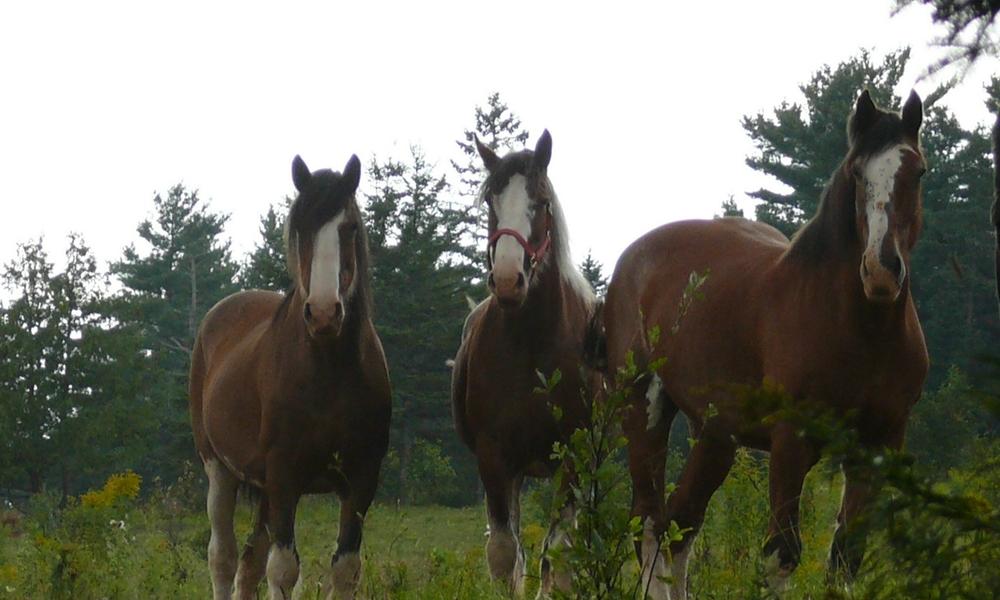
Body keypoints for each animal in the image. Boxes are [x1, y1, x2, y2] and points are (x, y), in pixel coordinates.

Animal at [188, 156, 390, 600]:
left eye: (350, 227)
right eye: (301, 227)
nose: (324, 313)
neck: (328, 371)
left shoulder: (361, 479)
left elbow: (345, 568)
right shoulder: (284, 476)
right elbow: (282, 570)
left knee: (248, 563)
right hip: (219, 470)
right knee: (223, 557)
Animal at [454, 131, 600, 596]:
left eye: (541, 201)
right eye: (490, 200)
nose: (506, 280)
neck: (532, 345)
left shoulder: (573, 454)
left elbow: (559, 554)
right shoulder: (494, 457)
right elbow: (505, 554)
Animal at [604, 90, 932, 600]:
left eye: (917, 172)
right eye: (858, 173)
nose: (881, 271)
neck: (858, 330)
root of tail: (631, 262)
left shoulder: (878, 443)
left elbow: (847, 556)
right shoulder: (790, 441)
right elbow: (782, 553)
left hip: (715, 436)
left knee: (680, 525)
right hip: (644, 411)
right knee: (651, 523)